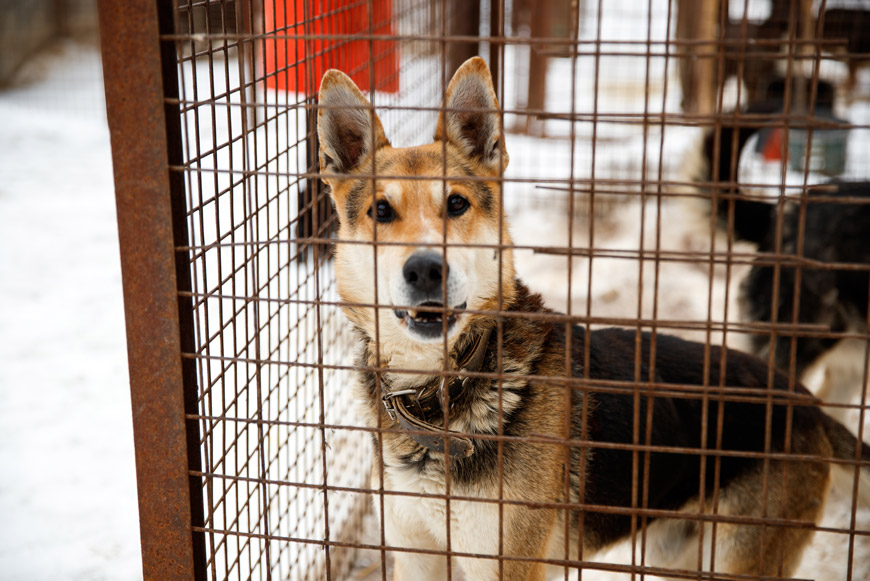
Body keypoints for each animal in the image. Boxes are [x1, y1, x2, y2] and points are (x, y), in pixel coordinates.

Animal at [318, 55, 870, 580]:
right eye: (381, 211)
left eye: (456, 203)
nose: (427, 268)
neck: (442, 392)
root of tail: (803, 402)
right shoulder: (416, 555)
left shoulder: (509, 565)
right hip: (678, 554)